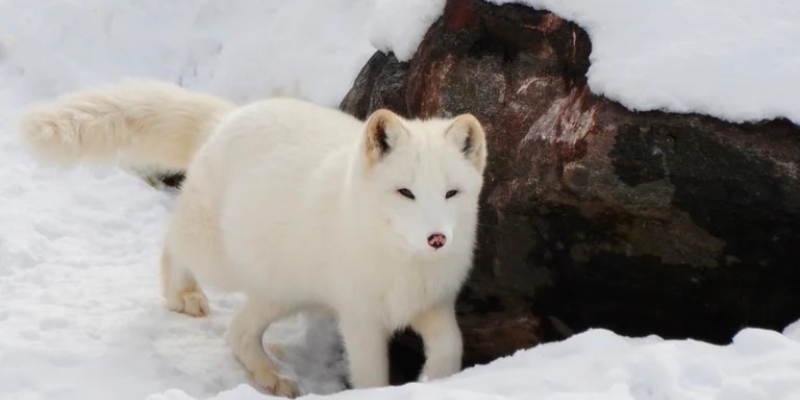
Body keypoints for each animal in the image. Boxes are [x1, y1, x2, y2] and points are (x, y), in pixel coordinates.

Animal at [18, 79, 490, 398]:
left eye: (451, 193)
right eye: (405, 192)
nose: (437, 238)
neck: (403, 264)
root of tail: (226, 119)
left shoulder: (433, 303)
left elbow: (451, 347)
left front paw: (437, 382)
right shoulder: (360, 317)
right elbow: (371, 376)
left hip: (283, 290)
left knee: (238, 334)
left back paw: (271, 376)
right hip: (222, 261)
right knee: (174, 243)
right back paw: (182, 294)